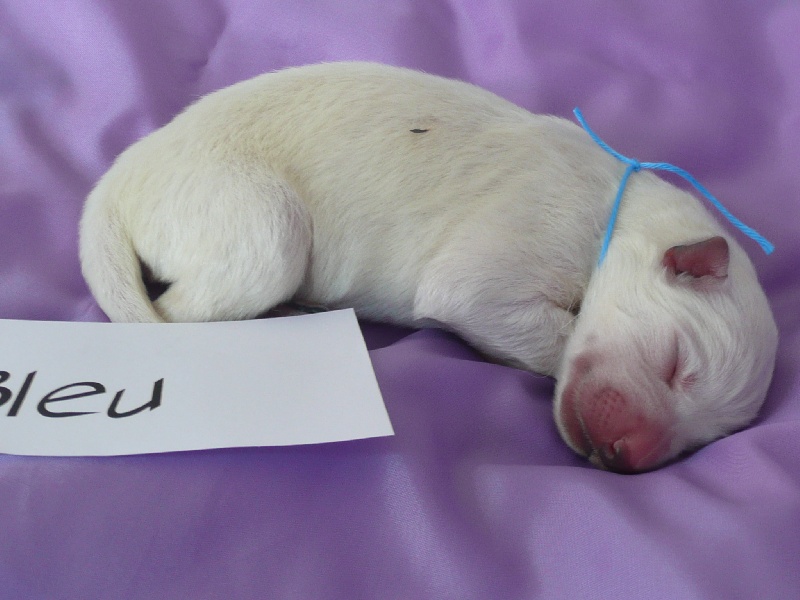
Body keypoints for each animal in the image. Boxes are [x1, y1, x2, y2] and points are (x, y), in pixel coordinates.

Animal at [79, 62, 778, 472]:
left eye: (704, 442)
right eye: (676, 365)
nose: (628, 456)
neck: (620, 212)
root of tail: (116, 182)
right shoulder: (521, 242)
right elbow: (529, 323)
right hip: (258, 223)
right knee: (181, 311)